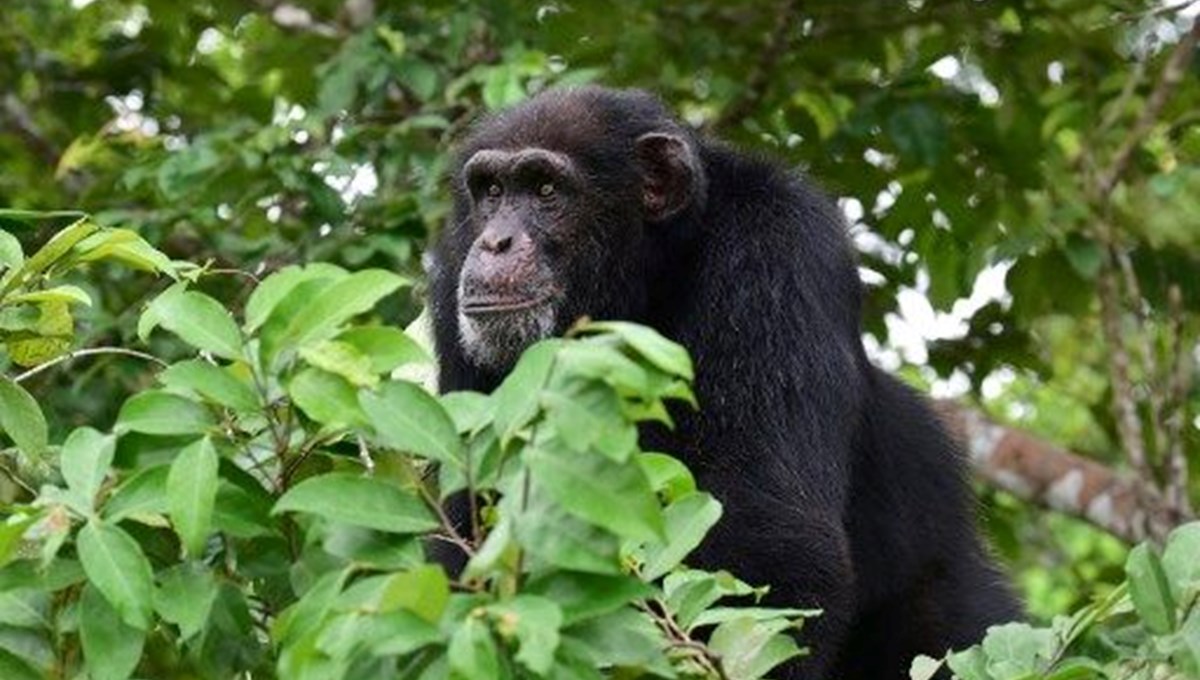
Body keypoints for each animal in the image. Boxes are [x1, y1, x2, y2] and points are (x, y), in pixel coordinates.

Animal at [427, 87, 1017, 676]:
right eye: (492, 191)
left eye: (546, 189)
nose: (495, 242)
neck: (649, 279)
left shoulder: (780, 248)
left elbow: (769, 536)